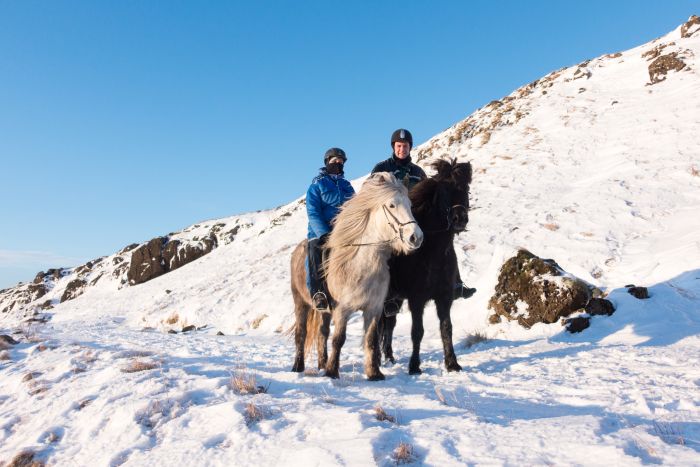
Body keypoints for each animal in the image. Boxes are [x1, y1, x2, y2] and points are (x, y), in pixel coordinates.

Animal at [288, 172, 422, 380]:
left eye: (409, 205)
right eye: (392, 205)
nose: (416, 237)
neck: (361, 265)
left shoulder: (374, 309)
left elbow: (371, 340)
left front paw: (374, 373)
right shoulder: (343, 309)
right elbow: (339, 339)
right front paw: (332, 372)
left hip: (324, 311)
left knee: (322, 333)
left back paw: (321, 364)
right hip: (301, 302)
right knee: (301, 334)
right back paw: (298, 367)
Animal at [380, 159, 474, 374]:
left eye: (465, 188)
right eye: (444, 190)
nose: (460, 219)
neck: (433, 251)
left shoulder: (444, 297)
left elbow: (447, 328)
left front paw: (452, 363)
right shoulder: (417, 299)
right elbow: (417, 331)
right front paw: (414, 366)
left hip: (395, 300)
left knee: (389, 324)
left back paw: (388, 356)